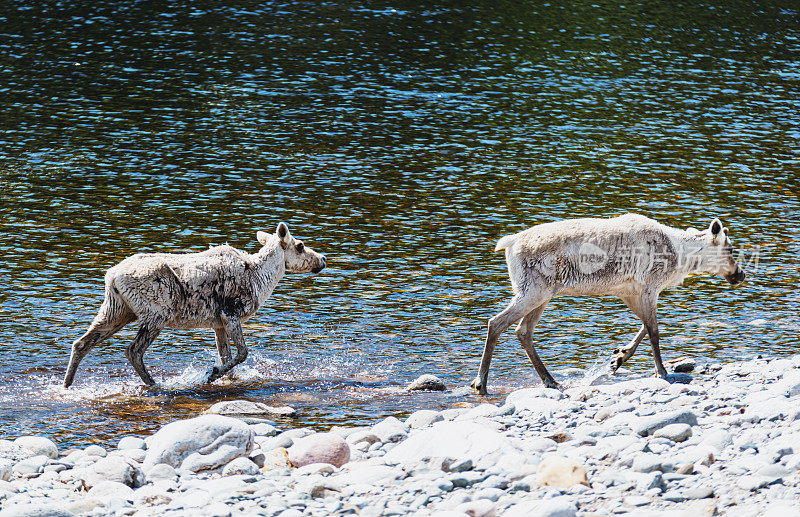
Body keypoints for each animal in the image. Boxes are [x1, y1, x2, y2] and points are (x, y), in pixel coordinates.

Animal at [62, 222, 324, 388]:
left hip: (116, 310)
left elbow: (226, 356)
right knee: (133, 350)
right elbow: (242, 353)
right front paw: (211, 374)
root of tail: (111, 277)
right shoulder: (231, 312)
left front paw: (224, 376)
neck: (262, 279)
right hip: (156, 313)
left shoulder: (217, 324)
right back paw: (155, 385)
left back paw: (67, 384)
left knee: (81, 343)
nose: (322, 259)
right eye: (300, 245)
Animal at [472, 214, 748, 396]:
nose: (741, 274)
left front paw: (619, 358)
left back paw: (551, 381)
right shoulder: (649, 287)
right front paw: (661, 371)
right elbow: (654, 331)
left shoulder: (629, 291)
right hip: (534, 290)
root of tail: (509, 243)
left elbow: (644, 327)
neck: (680, 255)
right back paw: (481, 383)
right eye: (730, 249)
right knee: (497, 323)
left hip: (543, 293)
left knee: (523, 331)